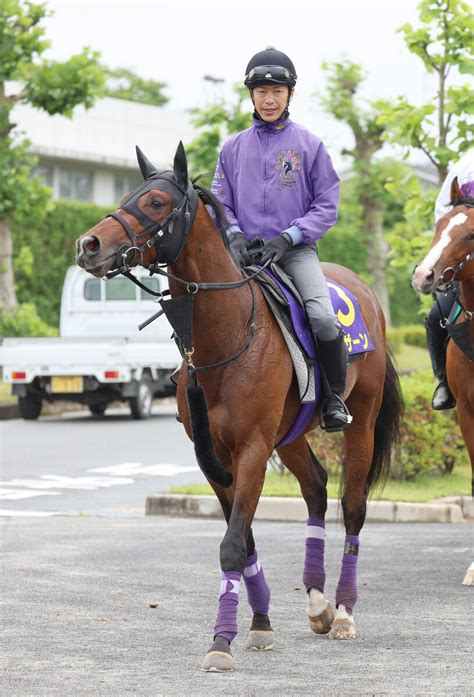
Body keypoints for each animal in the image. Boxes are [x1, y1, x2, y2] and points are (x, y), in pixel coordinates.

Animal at [76, 141, 402, 668]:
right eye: (126, 196)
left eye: (156, 203)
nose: (88, 245)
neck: (227, 336)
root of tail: (365, 291)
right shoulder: (214, 458)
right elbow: (243, 539)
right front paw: (260, 623)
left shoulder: (251, 448)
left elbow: (232, 545)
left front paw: (221, 642)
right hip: (289, 436)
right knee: (315, 488)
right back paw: (317, 605)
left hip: (362, 422)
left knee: (352, 506)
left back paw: (344, 613)